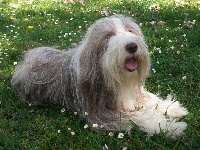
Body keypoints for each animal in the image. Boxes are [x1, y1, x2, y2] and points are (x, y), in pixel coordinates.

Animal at [12, 14, 188, 137]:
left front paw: (174, 108)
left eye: (130, 31)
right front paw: (171, 127)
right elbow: (139, 117)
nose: (132, 46)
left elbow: (151, 99)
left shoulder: (134, 96)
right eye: (109, 36)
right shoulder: (101, 114)